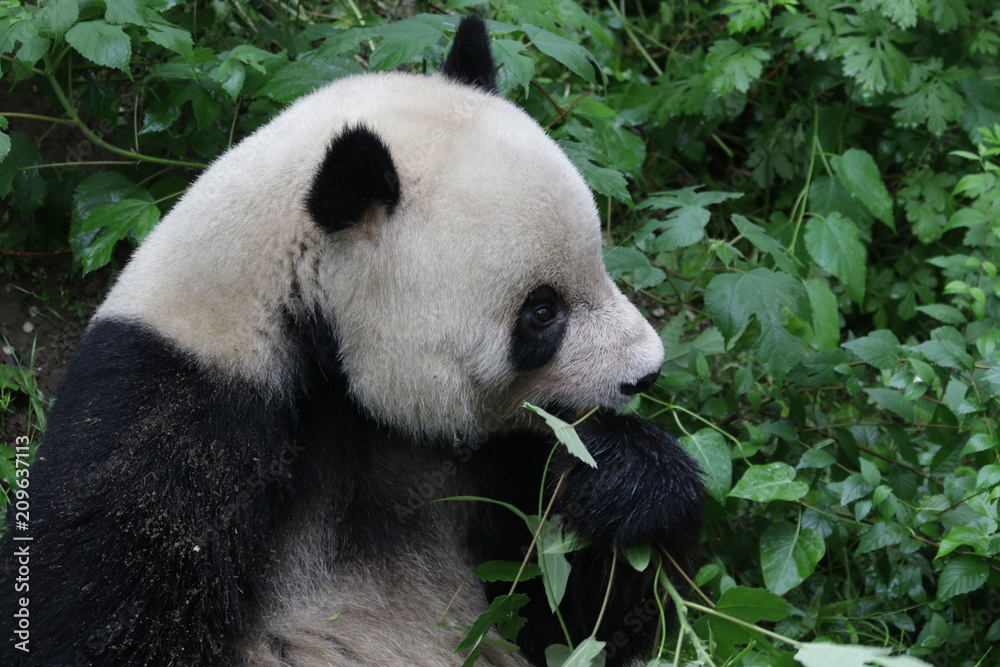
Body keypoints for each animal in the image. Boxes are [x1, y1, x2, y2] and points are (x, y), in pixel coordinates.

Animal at [2, 16, 703, 667]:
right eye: (542, 311)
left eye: (599, 262)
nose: (645, 373)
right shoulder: (174, 415)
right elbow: (98, 611)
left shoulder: (482, 472)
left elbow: (564, 622)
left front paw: (619, 473)